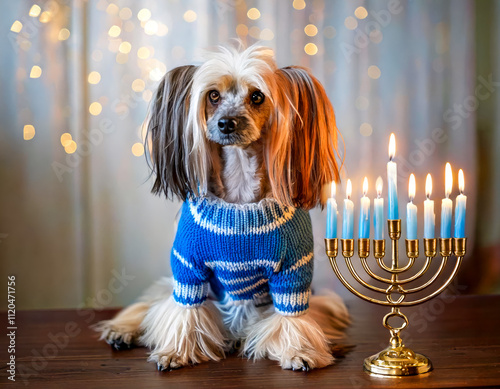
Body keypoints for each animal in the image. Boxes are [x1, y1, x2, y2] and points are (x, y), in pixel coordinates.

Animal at [95, 44, 350, 372]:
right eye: (213, 95)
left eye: (257, 96)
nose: (226, 123)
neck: (240, 198)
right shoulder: (188, 267)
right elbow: (184, 310)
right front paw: (175, 351)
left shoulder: (293, 271)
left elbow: (292, 316)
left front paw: (298, 351)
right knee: (151, 303)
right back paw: (122, 330)